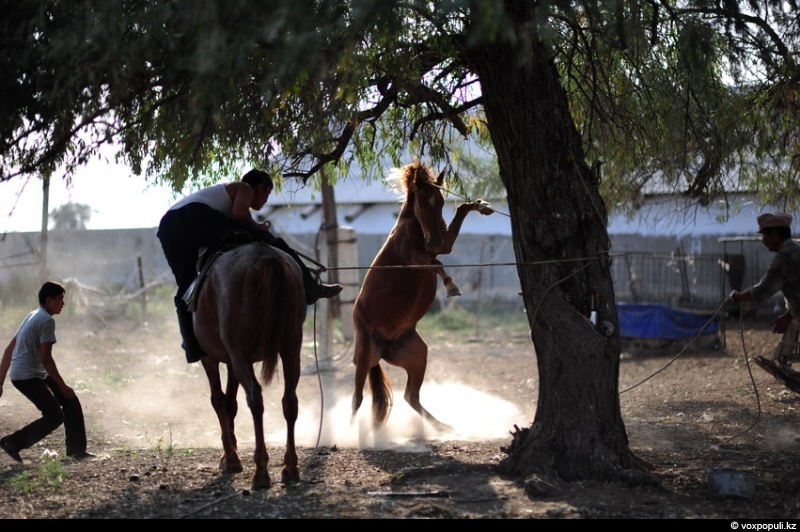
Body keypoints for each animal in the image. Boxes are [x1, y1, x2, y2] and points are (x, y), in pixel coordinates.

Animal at [352, 162, 490, 432]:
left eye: (441, 201)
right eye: (423, 204)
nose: (433, 241)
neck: (412, 228)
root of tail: (382, 348)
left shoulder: (444, 244)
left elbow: (456, 222)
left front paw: (480, 205)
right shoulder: (416, 259)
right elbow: (436, 263)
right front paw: (451, 287)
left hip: (416, 355)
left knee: (410, 396)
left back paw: (442, 426)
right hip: (363, 357)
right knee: (357, 399)